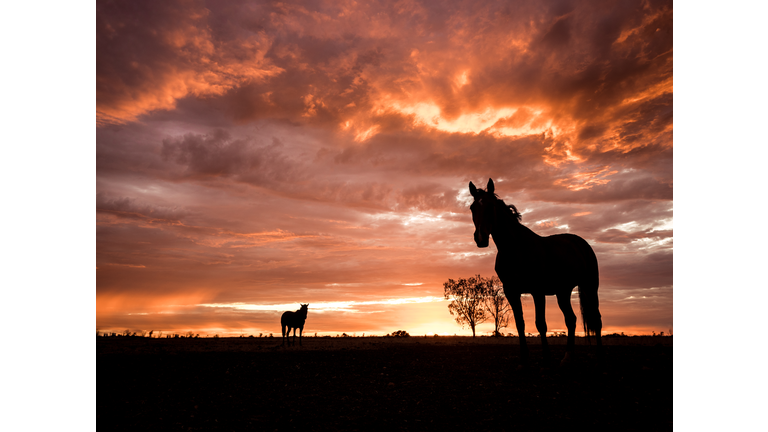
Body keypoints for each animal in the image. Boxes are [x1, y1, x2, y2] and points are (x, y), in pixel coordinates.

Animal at [468, 178, 602, 366]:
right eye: (472, 208)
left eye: (490, 206)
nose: (480, 237)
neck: (515, 249)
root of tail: (581, 243)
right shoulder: (511, 292)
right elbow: (520, 323)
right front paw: (524, 359)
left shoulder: (537, 291)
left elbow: (541, 324)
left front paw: (546, 359)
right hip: (563, 292)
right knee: (571, 320)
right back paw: (567, 357)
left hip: (590, 286)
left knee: (596, 319)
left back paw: (599, 356)